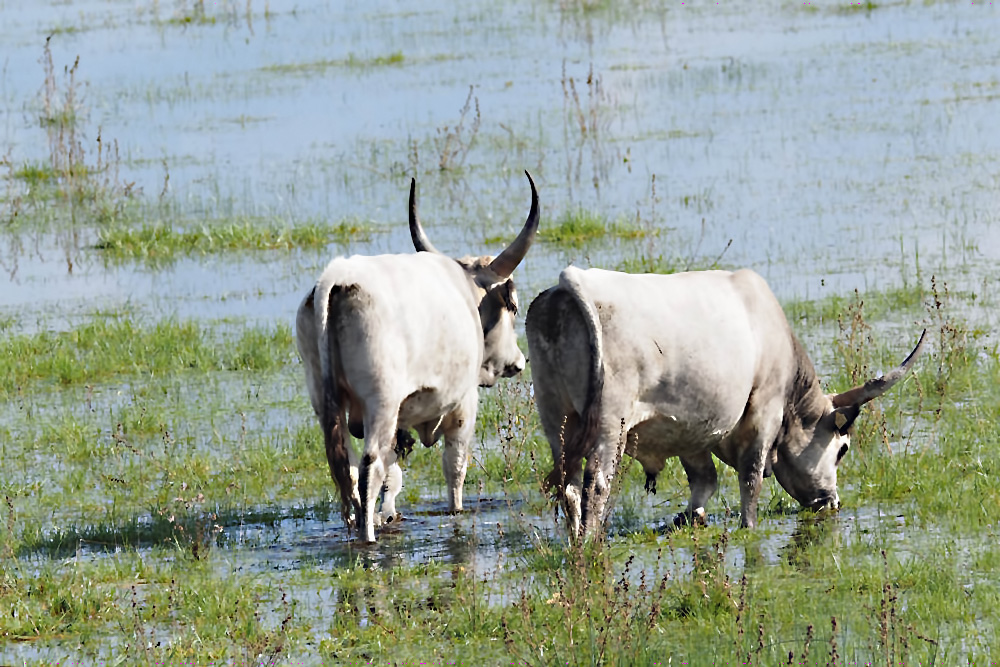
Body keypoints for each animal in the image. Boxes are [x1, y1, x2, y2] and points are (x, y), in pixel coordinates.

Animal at [294, 171, 540, 544]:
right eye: (512, 307)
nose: (518, 362)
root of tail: (335, 279)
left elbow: (394, 475)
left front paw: (390, 514)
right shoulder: (462, 405)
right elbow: (455, 466)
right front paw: (455, 510)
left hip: (326, 403)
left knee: (348, 470)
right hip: (380, 401)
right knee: (369, 467)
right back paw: (369, 537)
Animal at [528, 266, 924, 536]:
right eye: (842, 449)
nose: (832, 502)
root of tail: (572, 282)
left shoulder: (690, 427)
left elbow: (704, 479)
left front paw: (691, 517)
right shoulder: (764, 410)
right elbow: (751, 478)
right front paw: (749, 526)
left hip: (557, 418)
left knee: (569, 487)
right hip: (610, 423)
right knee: (595, 485)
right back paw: (591, 543)